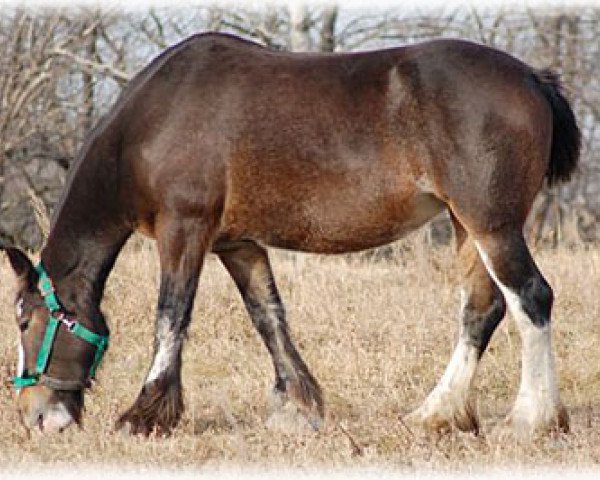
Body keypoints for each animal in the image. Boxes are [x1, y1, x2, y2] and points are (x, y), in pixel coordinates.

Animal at [2, 31, 580, 436]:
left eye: (26, 321)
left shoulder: (184, 228)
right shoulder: (236, 241)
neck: (153, 121)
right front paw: (299, 407)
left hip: (492, 224)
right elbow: (268, 315)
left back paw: (531, 420)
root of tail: (532, 76)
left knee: (531, 297)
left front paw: (146, 414)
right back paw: (435, 414)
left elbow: (171, 316)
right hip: (466, 225)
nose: (33, 415)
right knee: (482, 309)